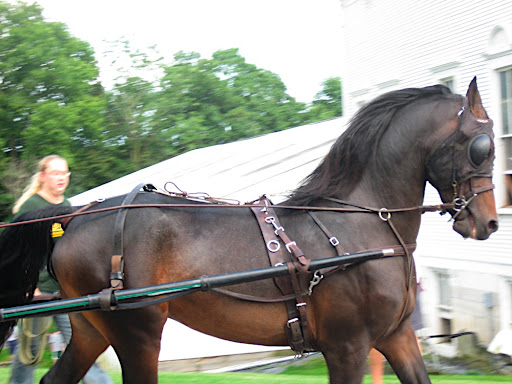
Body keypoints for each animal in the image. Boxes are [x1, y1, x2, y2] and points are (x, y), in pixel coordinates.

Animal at [0, 76, 496, 382]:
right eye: (482, 147)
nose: (488, 221)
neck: (358, 225)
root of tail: (72, 217)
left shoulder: (396, 337)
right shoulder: (347, 346)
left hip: (90, 330)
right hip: (137, 332)